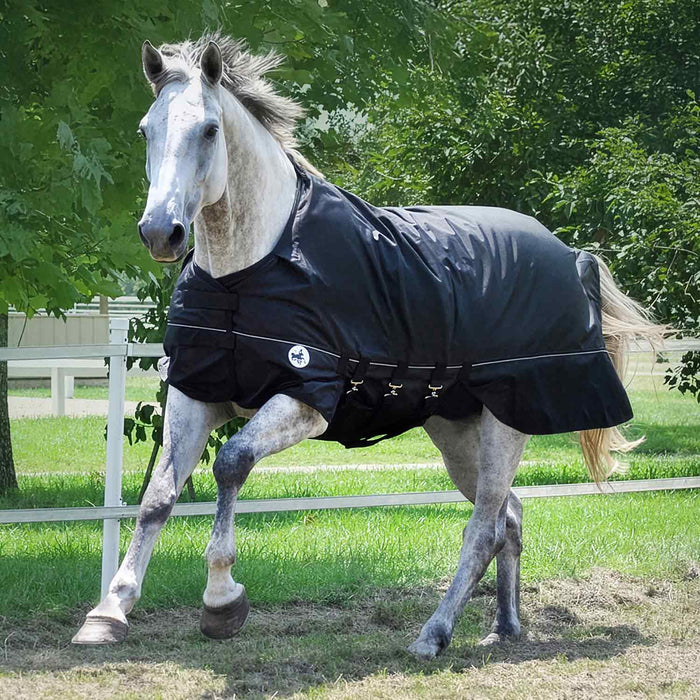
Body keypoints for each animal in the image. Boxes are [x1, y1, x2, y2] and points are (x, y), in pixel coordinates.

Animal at [72, 33, 663, 658]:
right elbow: (158, 495)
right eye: (146, 129)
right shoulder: (196, 393)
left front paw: (221, 600)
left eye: (209, 129)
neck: (249, 270)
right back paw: (504, 626)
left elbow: (231, 463)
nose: (162, 233)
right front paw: (109, 611)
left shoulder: (305, 397)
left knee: (483, 528)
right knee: (510, 517)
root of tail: (571, 255)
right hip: (458, 433)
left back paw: (433, 635)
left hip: (507, 424)